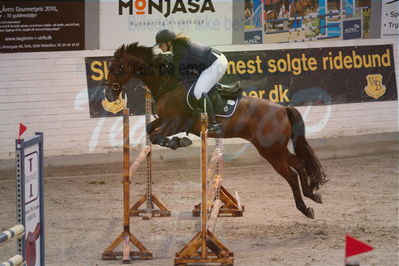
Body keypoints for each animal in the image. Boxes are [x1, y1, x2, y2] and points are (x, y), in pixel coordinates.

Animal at [105, 43, 328, 218]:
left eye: (119, 67)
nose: (108, 94)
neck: (168, 84)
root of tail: (282, 109)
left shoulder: (176, 123)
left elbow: (156, 135)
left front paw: (179, 142)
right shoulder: (164, 120)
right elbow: (149, 129)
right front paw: (176, 142)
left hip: (271, 151)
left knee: (291, 175)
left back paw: (304, 208)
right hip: (274, 149)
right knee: (300, 164)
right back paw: (312, 195)